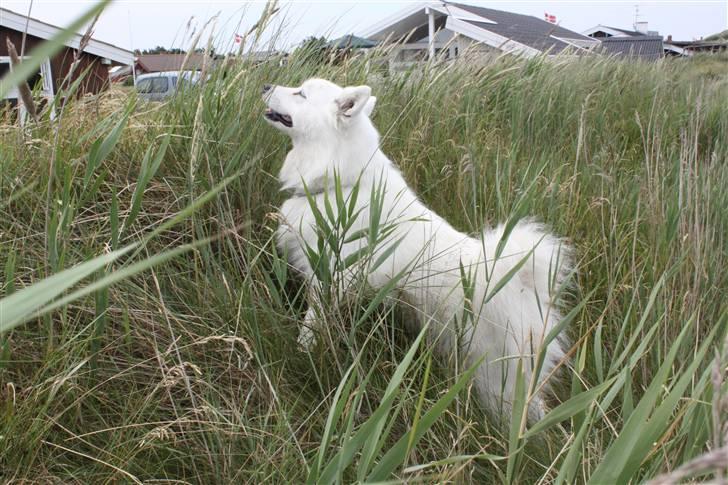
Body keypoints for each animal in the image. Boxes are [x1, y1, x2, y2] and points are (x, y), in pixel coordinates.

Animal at [264, 78, 572, 416]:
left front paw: (302, 350)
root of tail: (521, 283)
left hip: (497, 378)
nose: (266, 85)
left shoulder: (329, 279)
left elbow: (311, 324)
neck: (342, 183)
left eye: (301, 93)